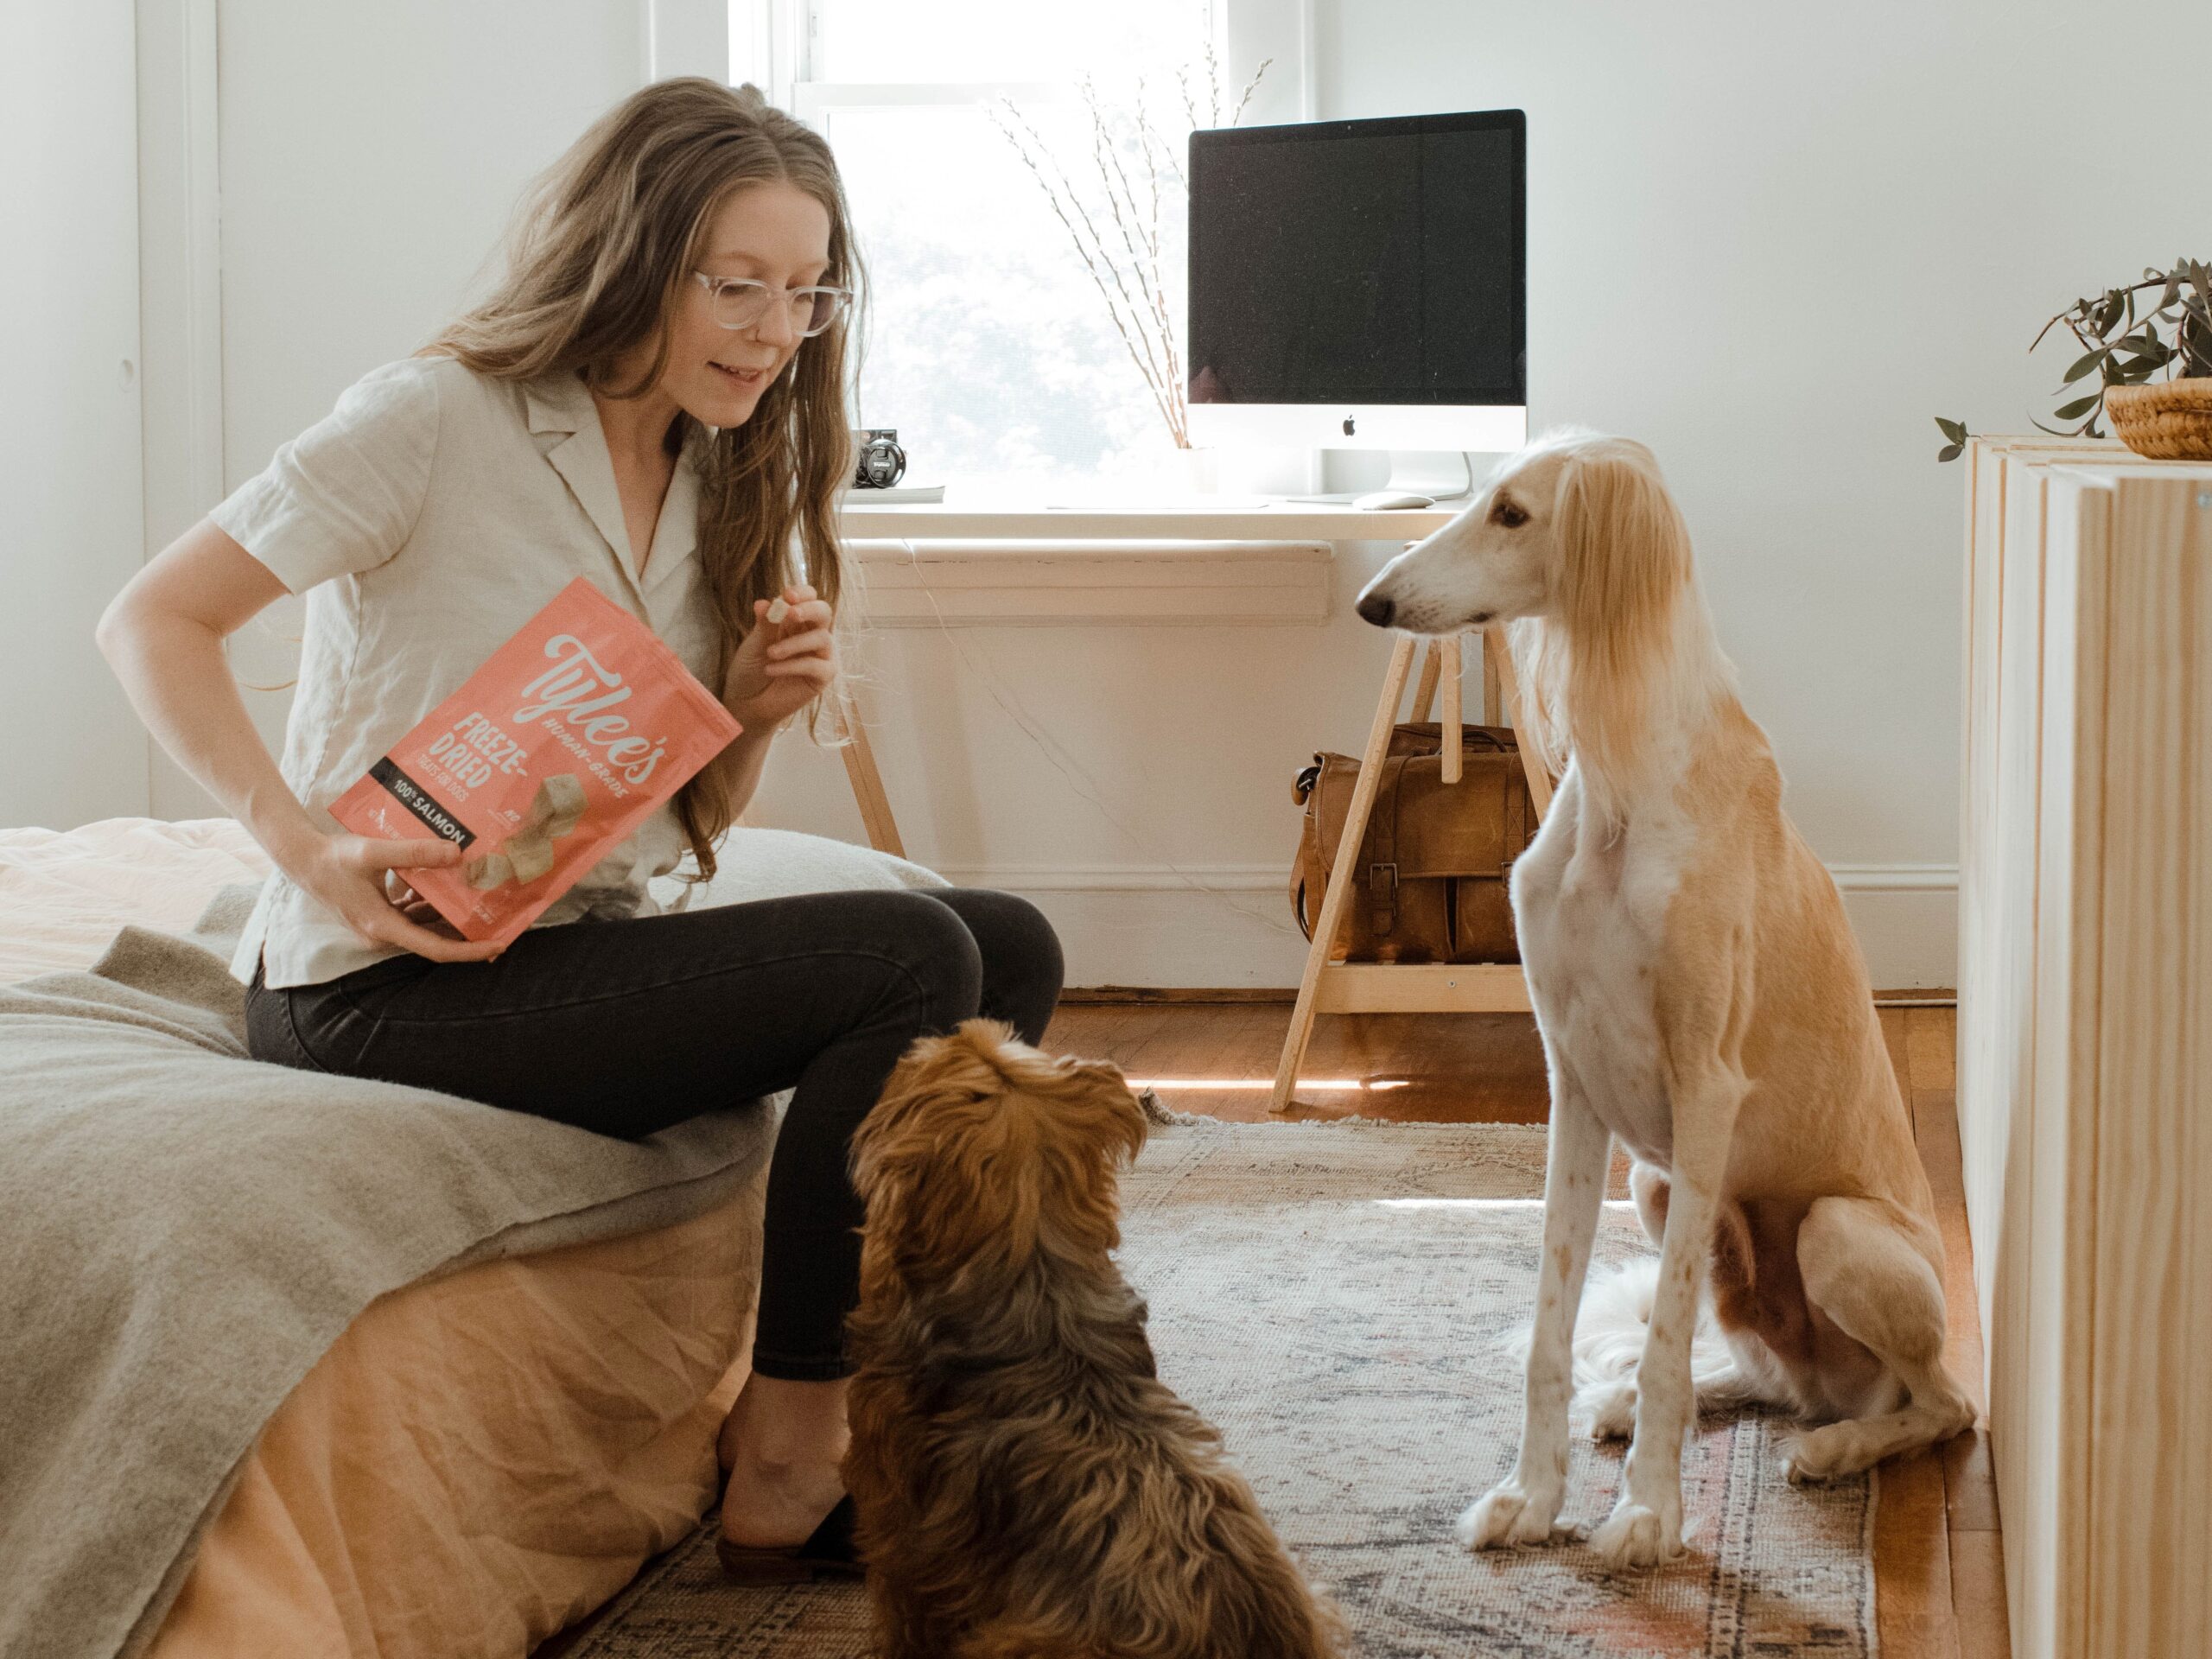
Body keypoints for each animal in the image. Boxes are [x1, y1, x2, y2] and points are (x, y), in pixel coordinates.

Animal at [1353, 431, 1981, 1574]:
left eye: (1512, 514)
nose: (1373, 604)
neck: (1619, 793)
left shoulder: (1704, 1092)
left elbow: (1662, 1345)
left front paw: (1645, 1516)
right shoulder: (1573, 1087)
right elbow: (1558, 1325)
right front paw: (1531, 1496)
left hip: (1839, 1234)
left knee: (1940, 1404)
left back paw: (1840, 1448)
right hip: (1650, 1188)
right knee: (1762, 1375)